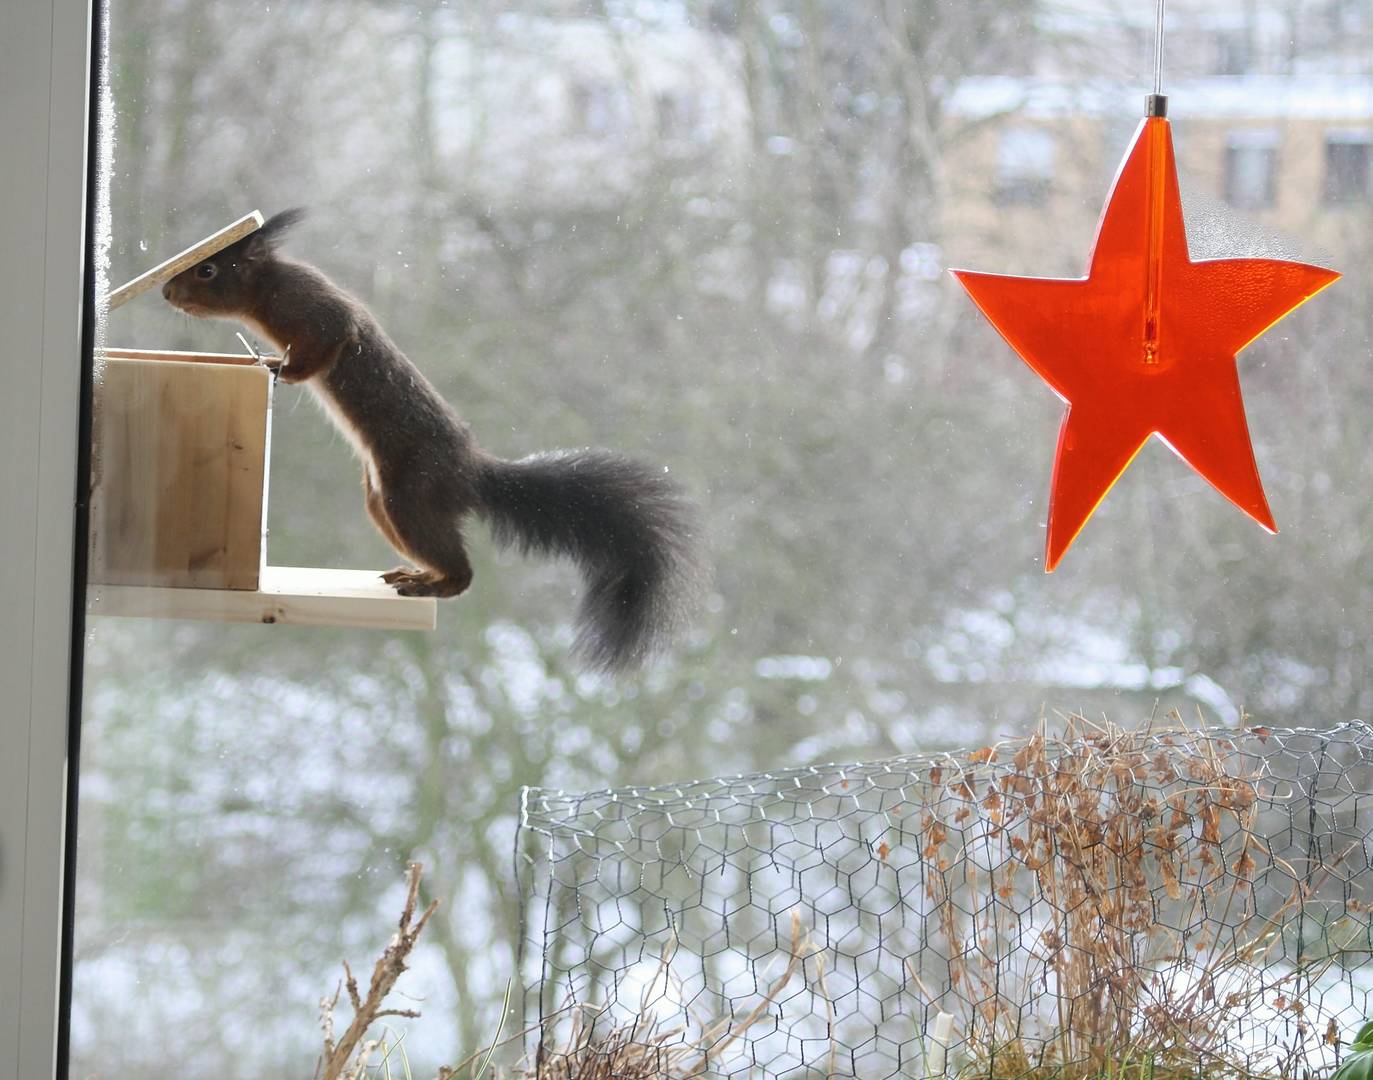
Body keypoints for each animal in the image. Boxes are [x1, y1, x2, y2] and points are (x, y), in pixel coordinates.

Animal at [160, 208, 697, 672]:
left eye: (207, 270)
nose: (166, 292)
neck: (267, 287)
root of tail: (470, 472)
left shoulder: (316, 311)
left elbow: (326, 346)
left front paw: (280, 368)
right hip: (384, 502)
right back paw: (417, 575)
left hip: (411, 494)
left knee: (463, 573)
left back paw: (433, 586)